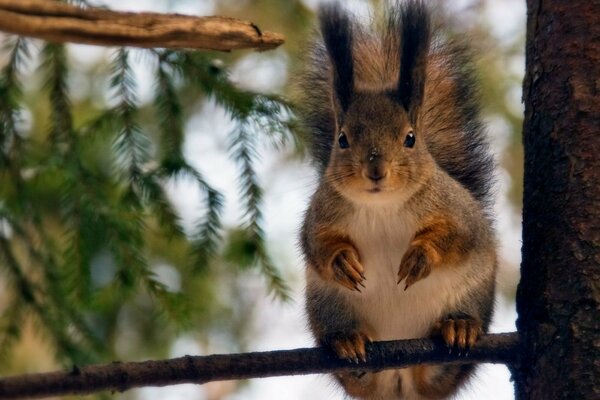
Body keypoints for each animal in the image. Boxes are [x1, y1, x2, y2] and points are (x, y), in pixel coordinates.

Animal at [296, 1, 496, 398]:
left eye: (410, 138)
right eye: (342, 139)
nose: (376, 169)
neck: (382, 207)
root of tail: (400, 377)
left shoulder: (456, 209)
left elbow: (458, 236)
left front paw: (420, 257)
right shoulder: (321, 213)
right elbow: (315, 244)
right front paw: (342, 262)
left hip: (474, 293)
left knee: (442, 370)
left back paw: (458, 328)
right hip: (327, 305)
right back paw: (348, 342)